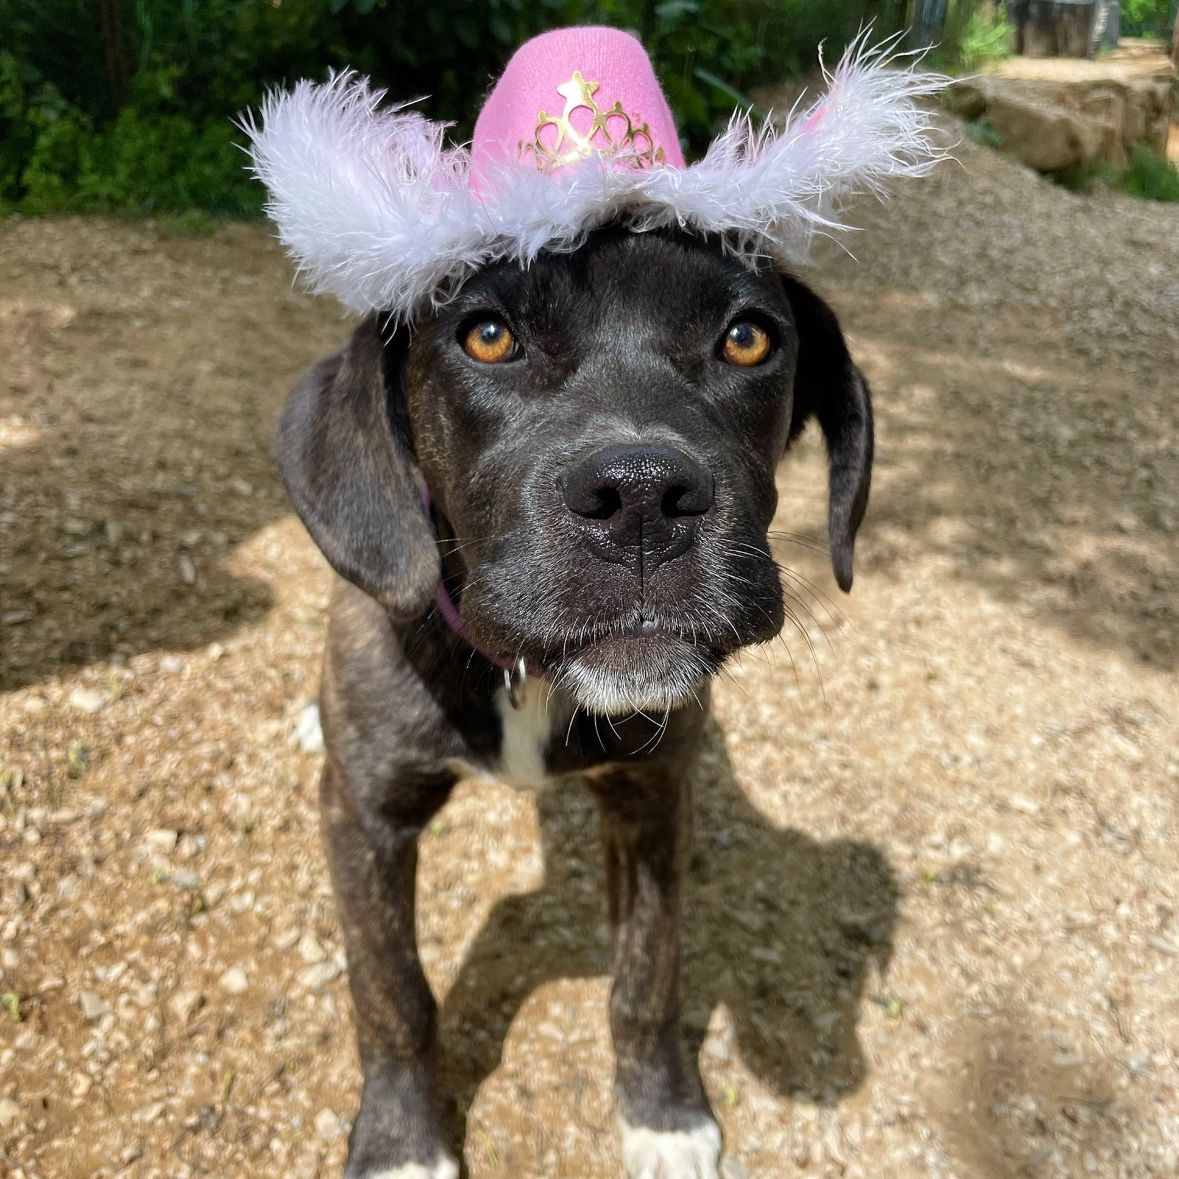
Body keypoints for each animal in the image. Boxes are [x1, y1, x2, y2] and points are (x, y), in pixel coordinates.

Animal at [271, 222, 872, 1179]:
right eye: (487, 335)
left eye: (747, 338)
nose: (642, 499)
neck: (526, 677)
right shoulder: (365, 816)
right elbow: (391, 989)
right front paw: (402, 1142)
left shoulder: (652, 801)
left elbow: (646, 974)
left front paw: (662, 1113)